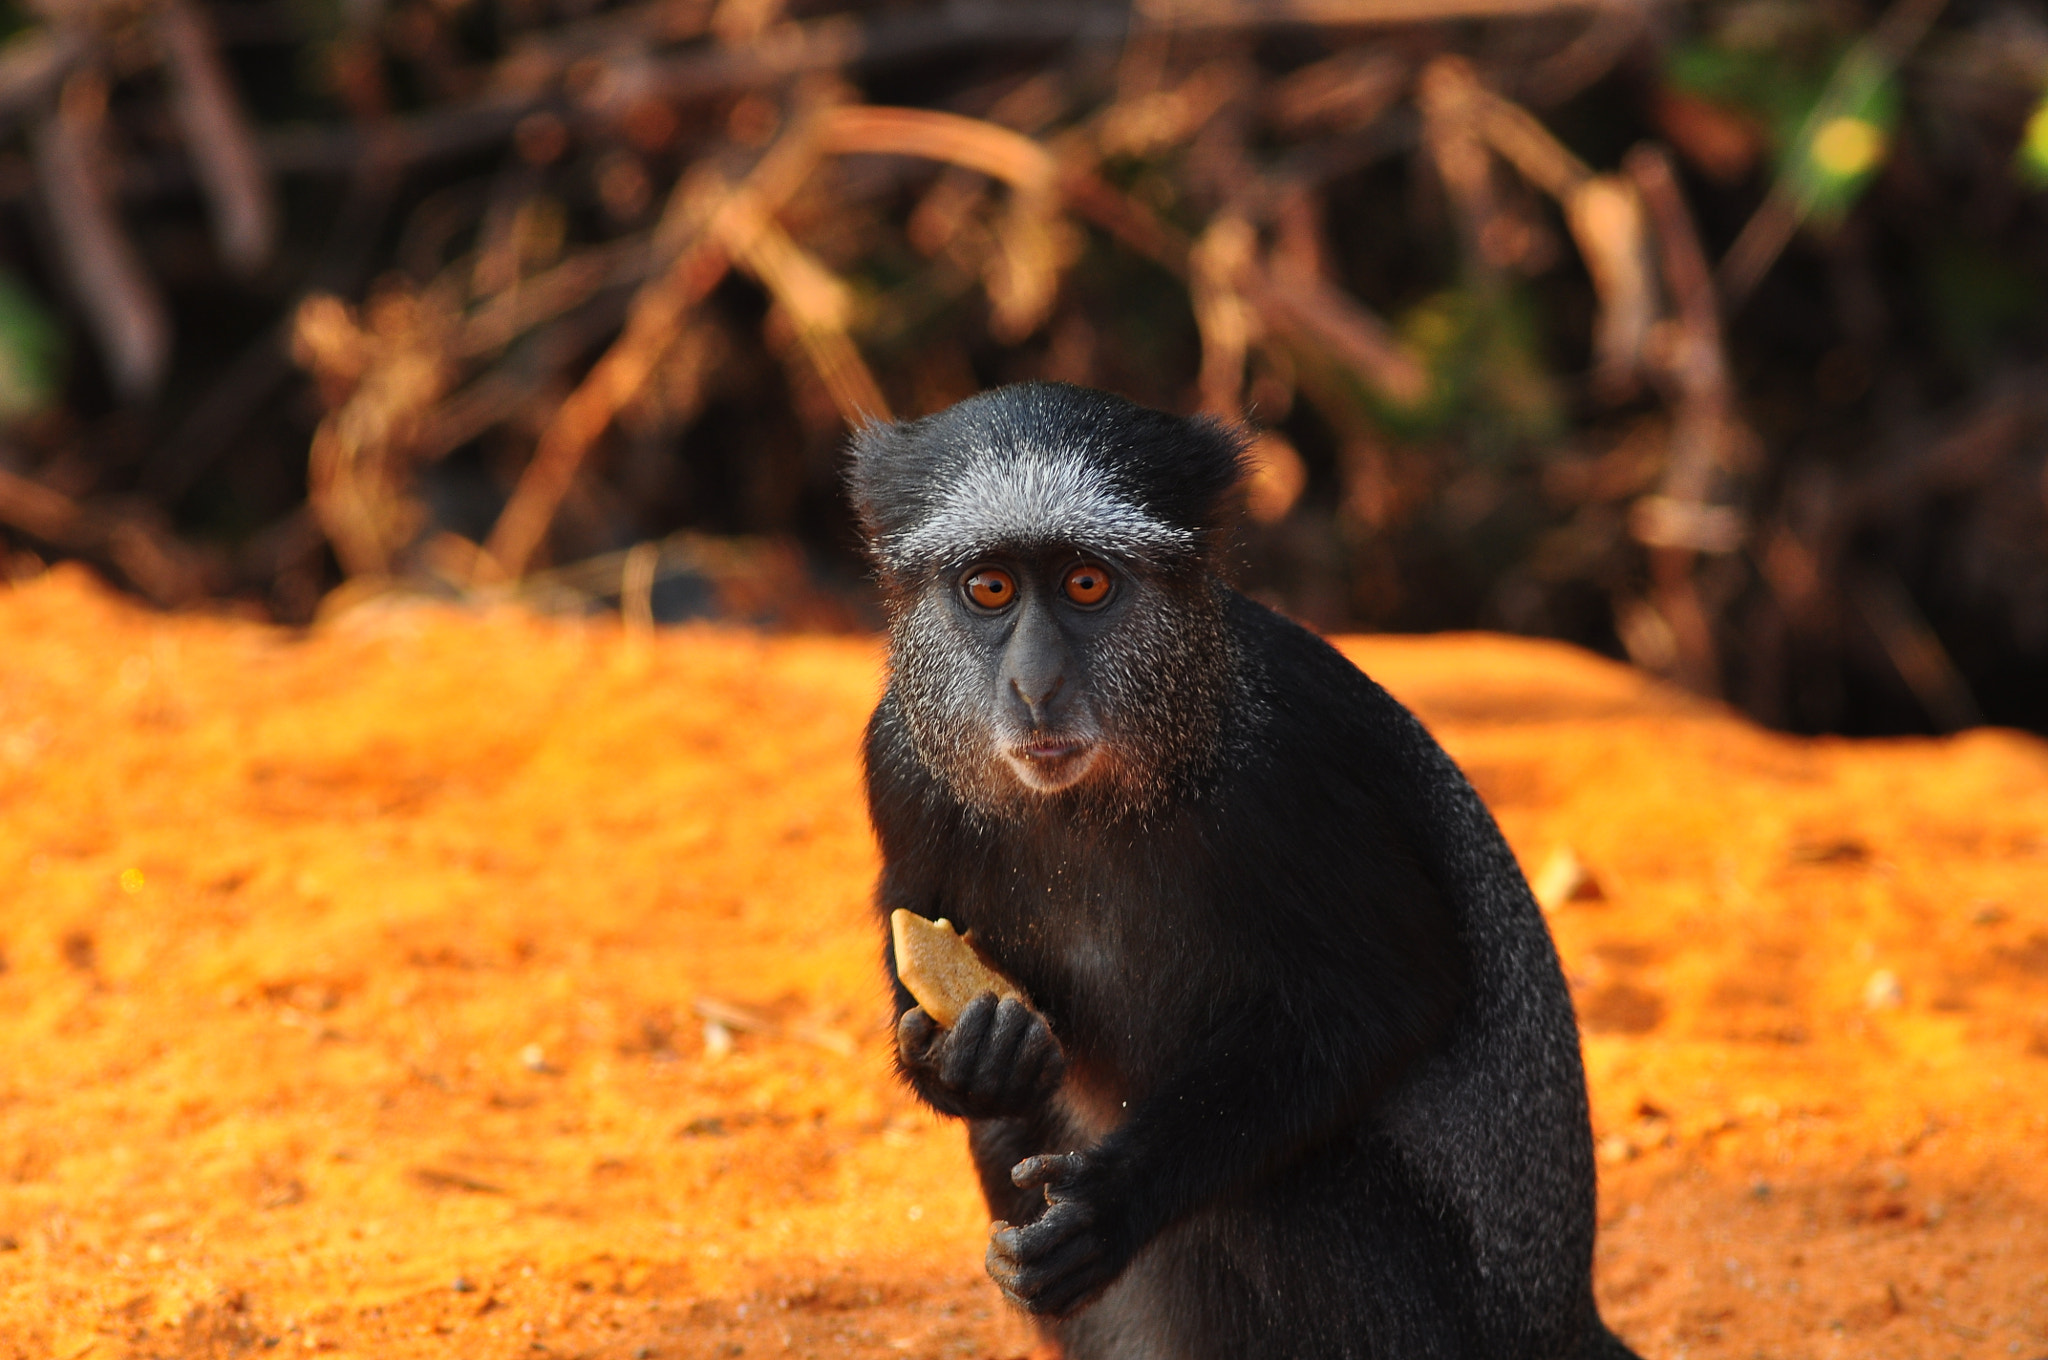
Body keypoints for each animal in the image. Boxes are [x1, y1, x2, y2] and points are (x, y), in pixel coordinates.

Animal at [847, 383, 1646, 1360]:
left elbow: (1391, 996)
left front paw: (1113, 1201)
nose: (1035, 688)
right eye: (989, 587)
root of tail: (1566, 1323)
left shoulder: (1288, 760)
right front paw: (969, 1060)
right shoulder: (898, 758)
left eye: (1086, 583)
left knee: (1279, 1181)